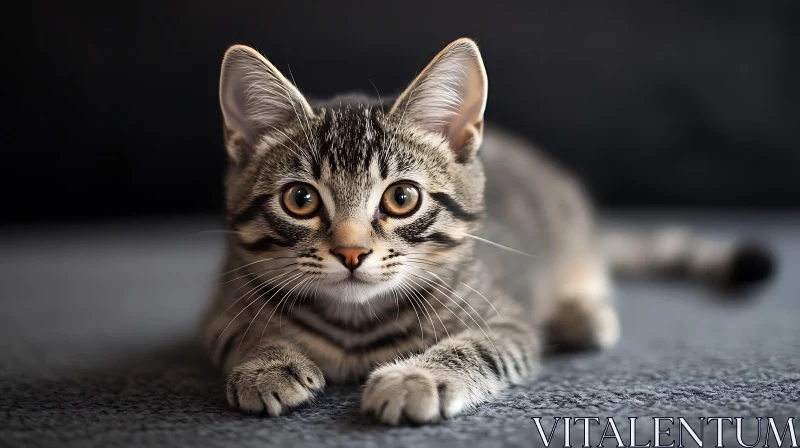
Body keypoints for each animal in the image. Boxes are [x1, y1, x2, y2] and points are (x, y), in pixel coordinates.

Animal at [202, 37, 776, 424]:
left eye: (401, 198)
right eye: (300, 200)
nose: (351, 252)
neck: (356, 324)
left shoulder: (506, 318)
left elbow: (476, 347)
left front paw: (417, 375)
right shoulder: (221, 308)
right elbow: (242, 331)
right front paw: (266, 362)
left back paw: (581, 317)